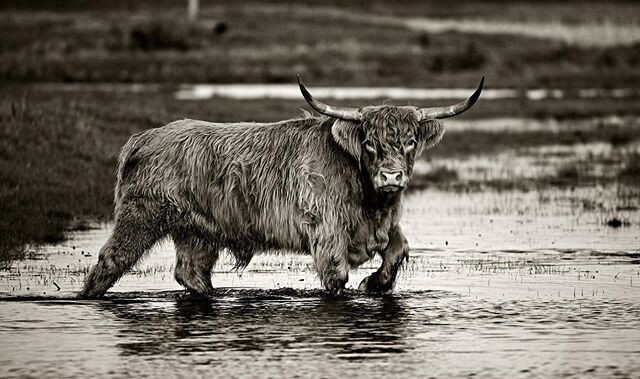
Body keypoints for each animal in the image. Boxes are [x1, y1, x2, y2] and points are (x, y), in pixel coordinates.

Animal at [77, 75, 482, 298]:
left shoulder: (383, 226)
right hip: (141, 216)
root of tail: (143, 138)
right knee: (110, 260)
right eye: (369, 143)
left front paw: (375, 284)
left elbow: (398, 250)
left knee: (191, 272)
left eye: (410, 142)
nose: (391, 177)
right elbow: (336, 277)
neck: (369, 201)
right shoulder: (326, 230)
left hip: (198, 230)